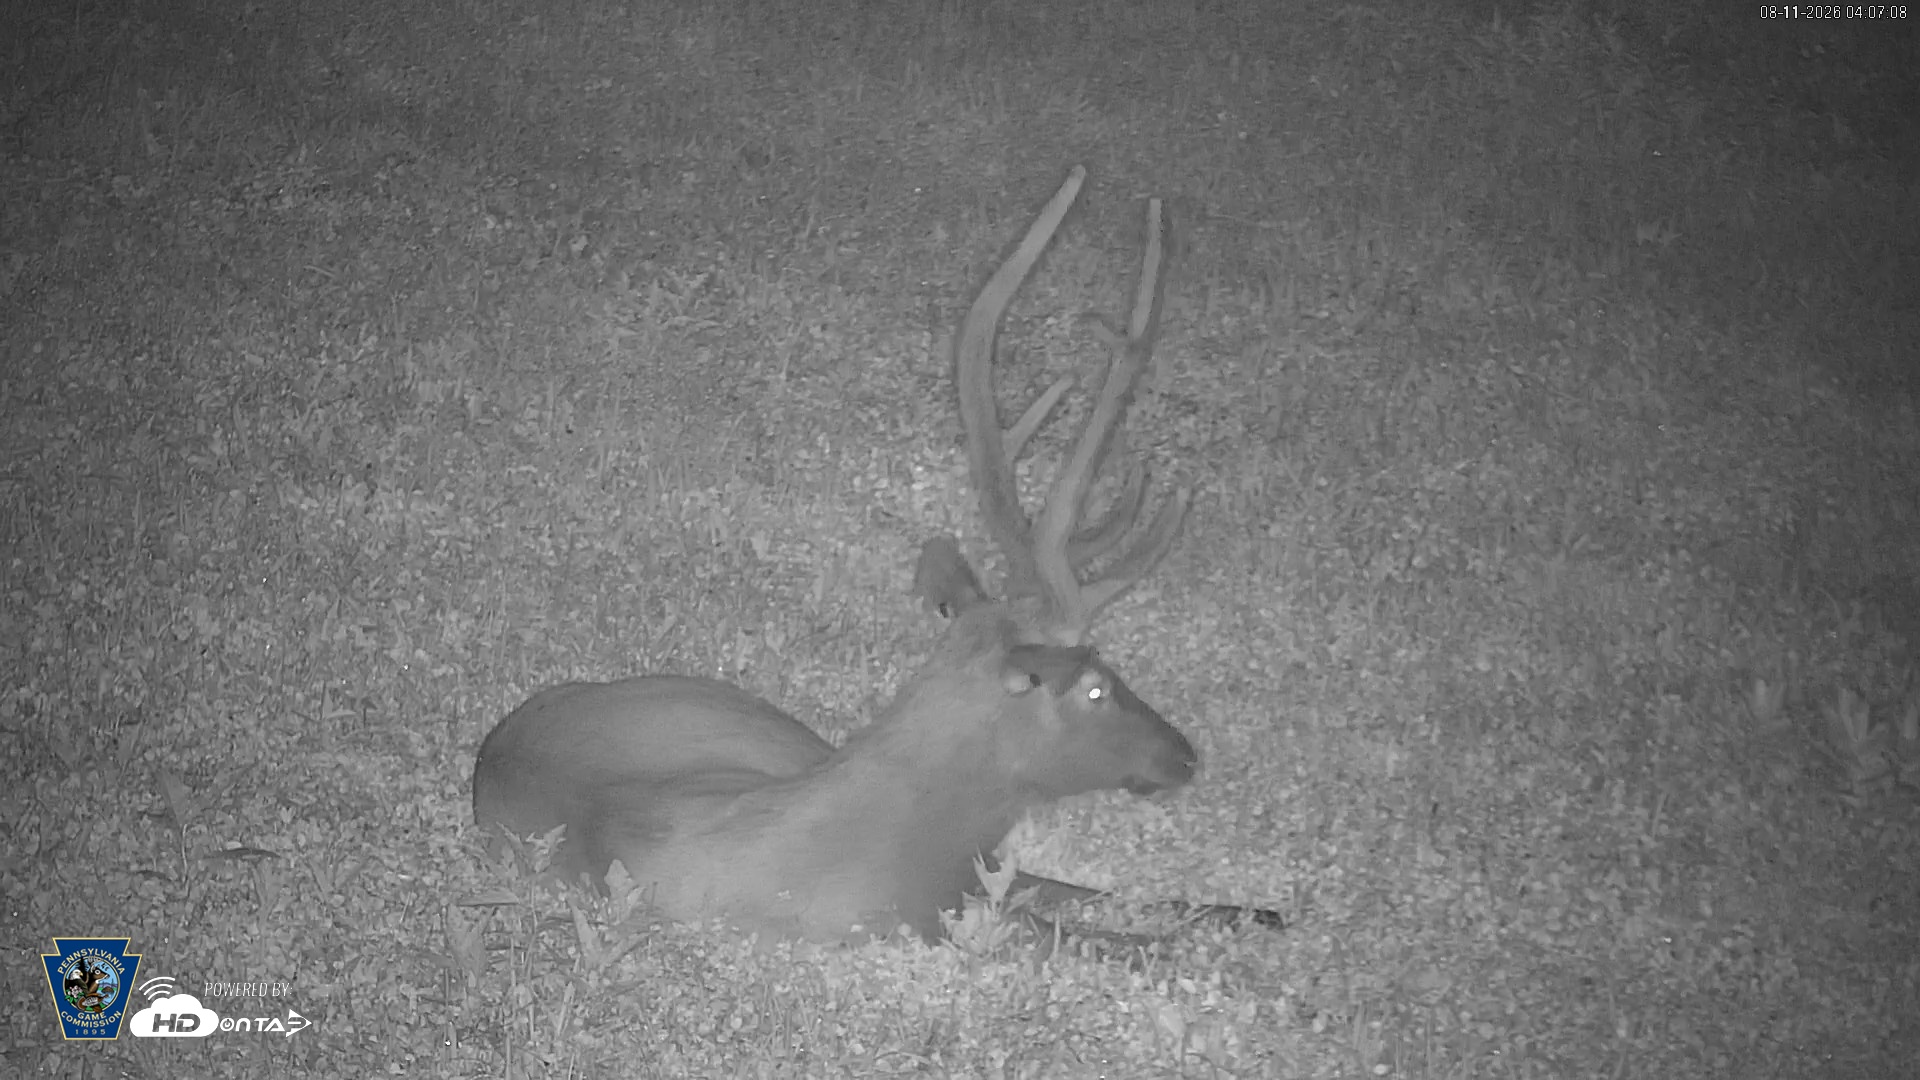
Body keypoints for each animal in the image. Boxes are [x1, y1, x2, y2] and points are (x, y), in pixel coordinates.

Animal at [471, 166, 1279, 945]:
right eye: (1095, 688)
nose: (1184, 753)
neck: (892, 848)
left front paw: (1257, 913)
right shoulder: (948, 914)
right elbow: (1117, 938)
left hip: (774, 731)